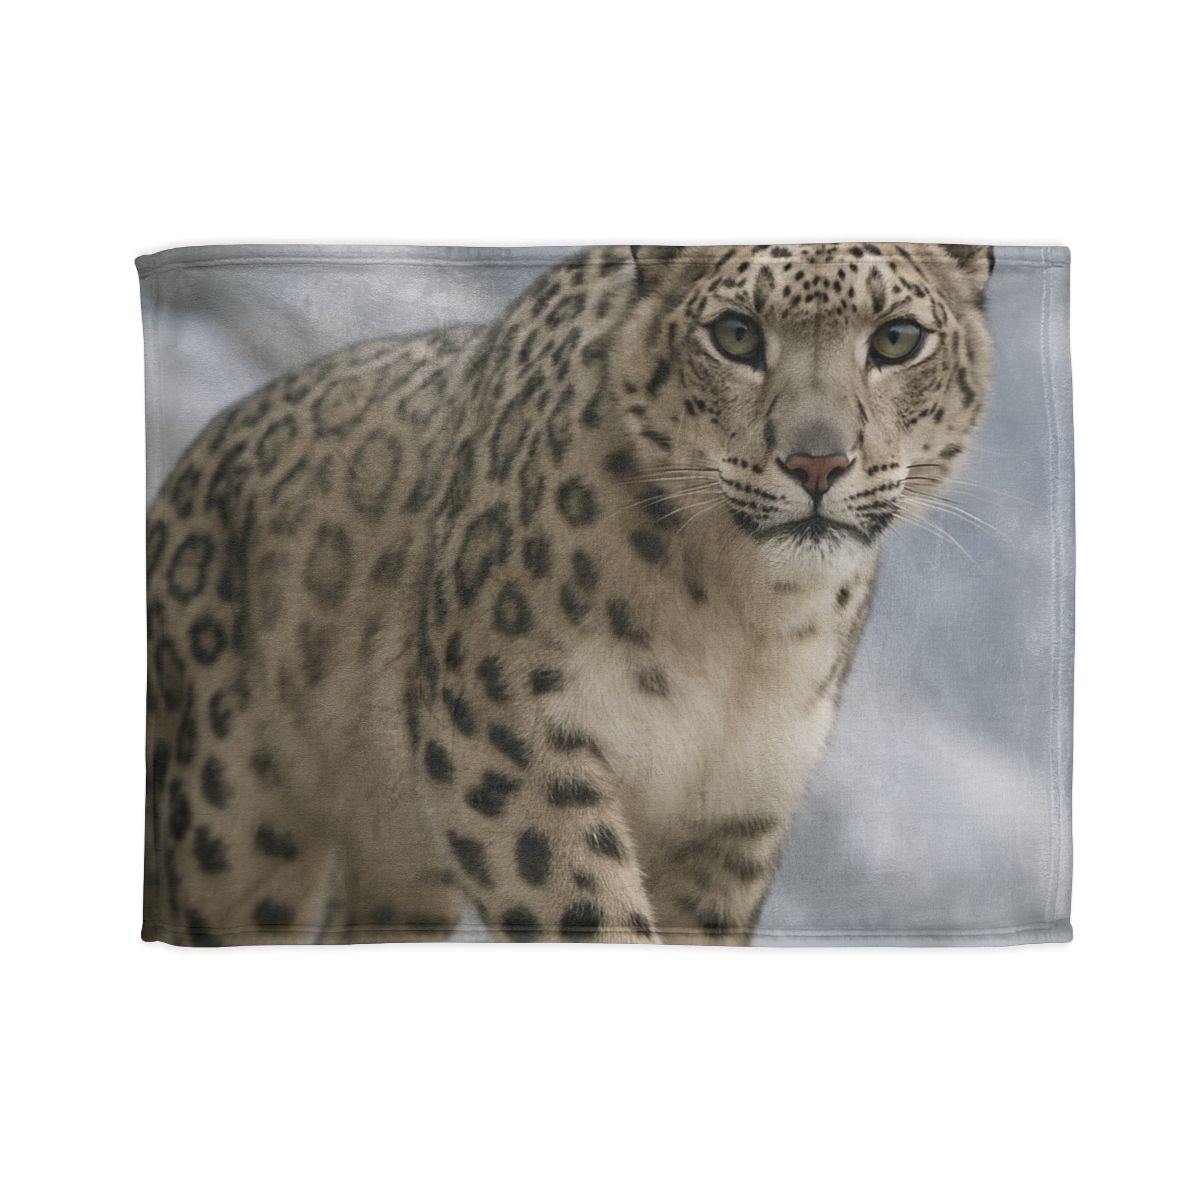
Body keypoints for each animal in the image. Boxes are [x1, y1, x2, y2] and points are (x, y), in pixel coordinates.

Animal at [143, 242, 994, 946]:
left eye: (897, 339)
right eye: (736, 334)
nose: (818, 462)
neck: (747, 618)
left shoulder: (736, 810)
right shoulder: (507, 735)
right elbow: (586, 907)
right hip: (228, 818)